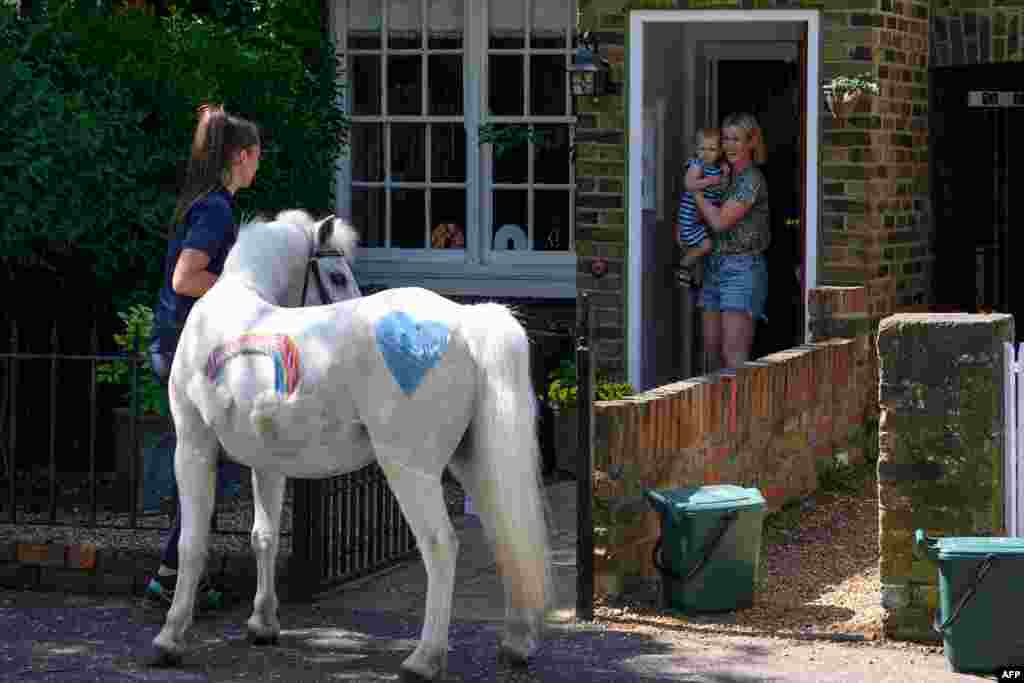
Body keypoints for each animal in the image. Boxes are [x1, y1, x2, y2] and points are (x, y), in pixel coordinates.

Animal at [151, 209, 551, 681]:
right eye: (338, 275)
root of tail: (464, 323)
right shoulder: (266, 463)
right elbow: (263, 537)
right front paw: (263, 623)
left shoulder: (192, 447)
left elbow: (191, 544)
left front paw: (170, 636)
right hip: (474, 462)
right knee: (506, 533)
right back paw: (516, 643)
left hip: (409, 470)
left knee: (441, 545)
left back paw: (424, 658)